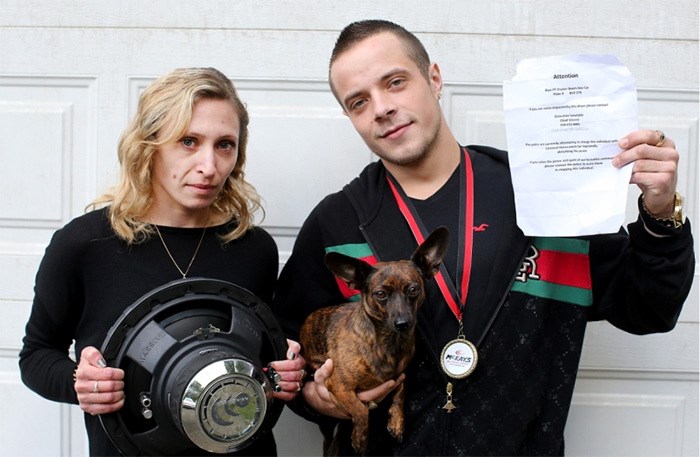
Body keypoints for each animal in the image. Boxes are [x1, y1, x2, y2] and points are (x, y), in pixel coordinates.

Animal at [300, 226, 448, 454]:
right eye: (380, 294)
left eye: (413, 290)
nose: (403, 323)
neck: (389, 342)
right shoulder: (340, 387)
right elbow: (361, 409)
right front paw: (360, 438)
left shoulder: (401, 375)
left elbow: (400, 392)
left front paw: (396, 422)